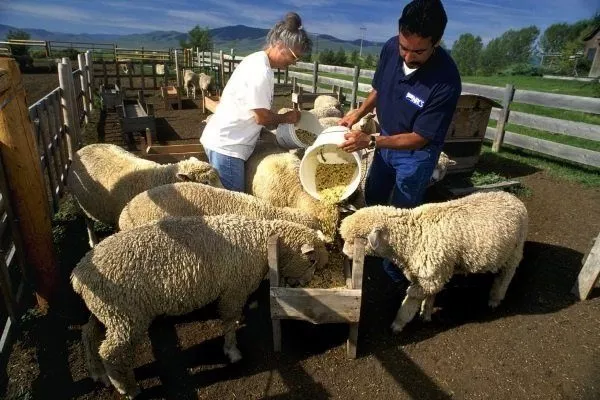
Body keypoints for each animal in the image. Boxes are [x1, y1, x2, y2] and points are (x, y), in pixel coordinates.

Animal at [67, 142, 223, 244]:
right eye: (206, 182)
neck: (159, 178)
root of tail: (86, 146)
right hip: (80, 203)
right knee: (88, 222)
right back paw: (92, 240)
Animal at [74, 212, 332, 396]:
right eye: (311, 260)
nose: (309, 282)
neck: (261, 240)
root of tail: (79, 275)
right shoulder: (234, 289)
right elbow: (229, 320)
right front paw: (232, 351)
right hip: (126, 315)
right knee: (112, 352)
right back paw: (127, 388)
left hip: (107, 312)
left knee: (88, 334)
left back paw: (98, 374)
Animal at [340, 189, 528, 332]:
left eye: (355, 241)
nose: (343, 253)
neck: (412, 236)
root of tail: (514, 199)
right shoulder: (434, 273)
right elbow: (431, 294)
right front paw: (426, 313)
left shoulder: (429, 278)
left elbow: (410, 301)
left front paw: (398, 324)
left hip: (515, 250)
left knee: (506, 276)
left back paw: (495, 299)